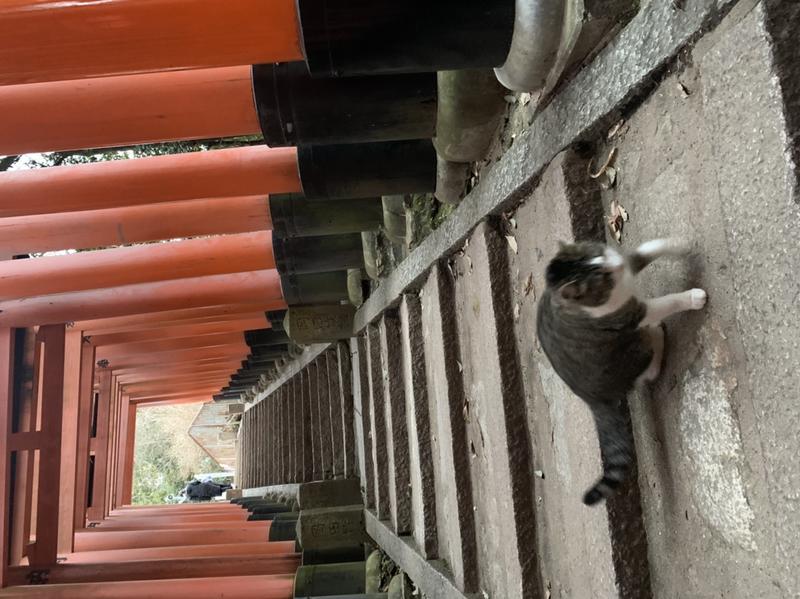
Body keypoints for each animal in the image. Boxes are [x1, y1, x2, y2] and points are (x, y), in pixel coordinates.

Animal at [536, 239, 708, 506]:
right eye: (601, 276)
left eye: (597, 254)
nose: (614, 264)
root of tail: (590, 399)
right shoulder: (631, 315)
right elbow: (667, 302)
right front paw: (693, 297)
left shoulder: (626, 264)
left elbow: (649, 249)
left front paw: (678, 244)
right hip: (632, 348)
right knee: (647, 371)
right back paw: (657, 336)